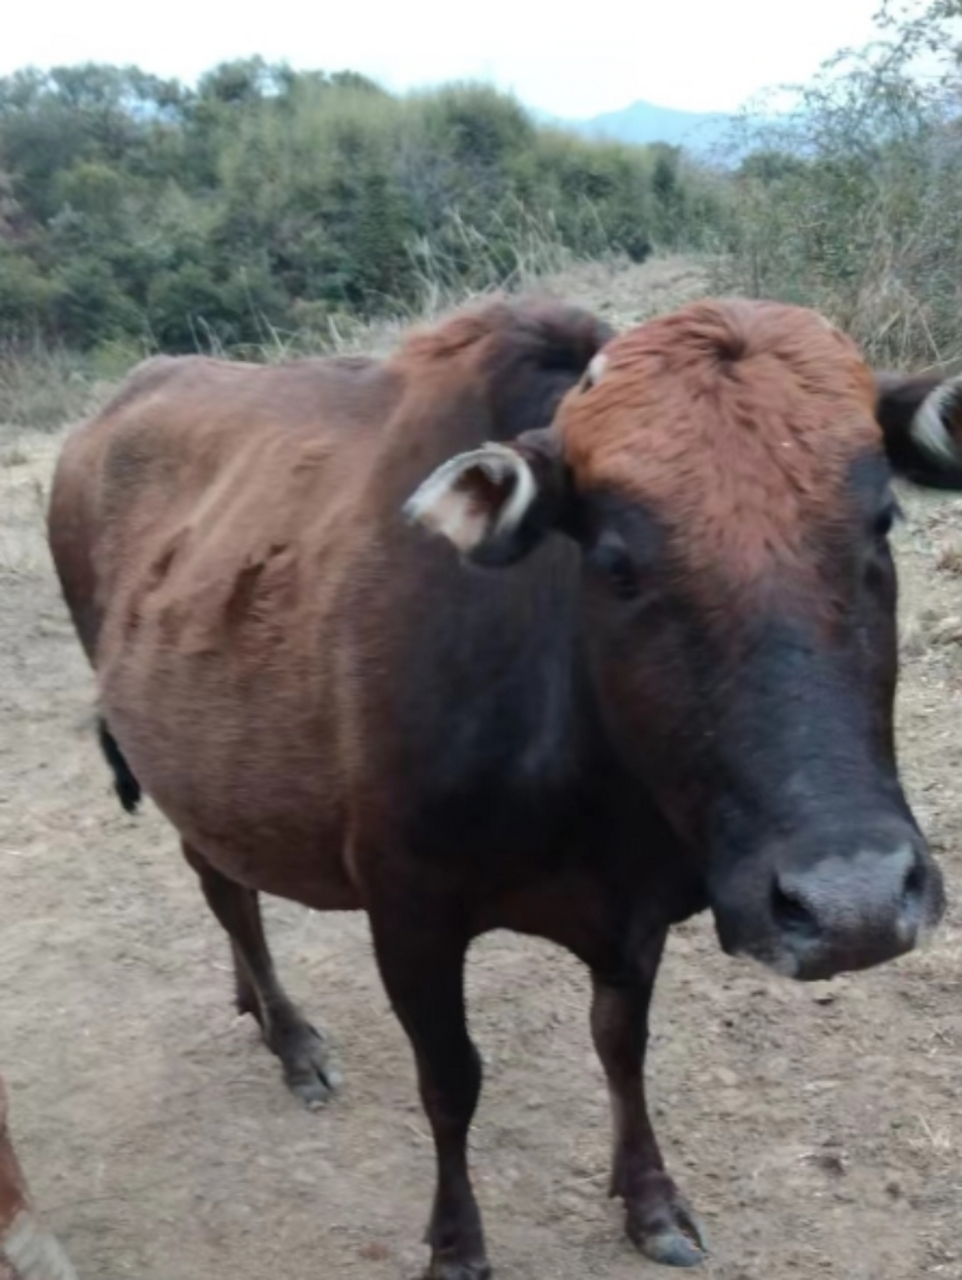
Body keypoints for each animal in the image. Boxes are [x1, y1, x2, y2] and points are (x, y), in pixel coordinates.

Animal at [48, 296, 961, 1269]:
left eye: (882, 521)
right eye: (616, 561)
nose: (856, 905)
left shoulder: (636, 914)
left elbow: (622, 1046)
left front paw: (651, 1200)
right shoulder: (408, 914)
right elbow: (451, 1081)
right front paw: (456, 1242)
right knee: (225, 891)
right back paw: (290, 1038)